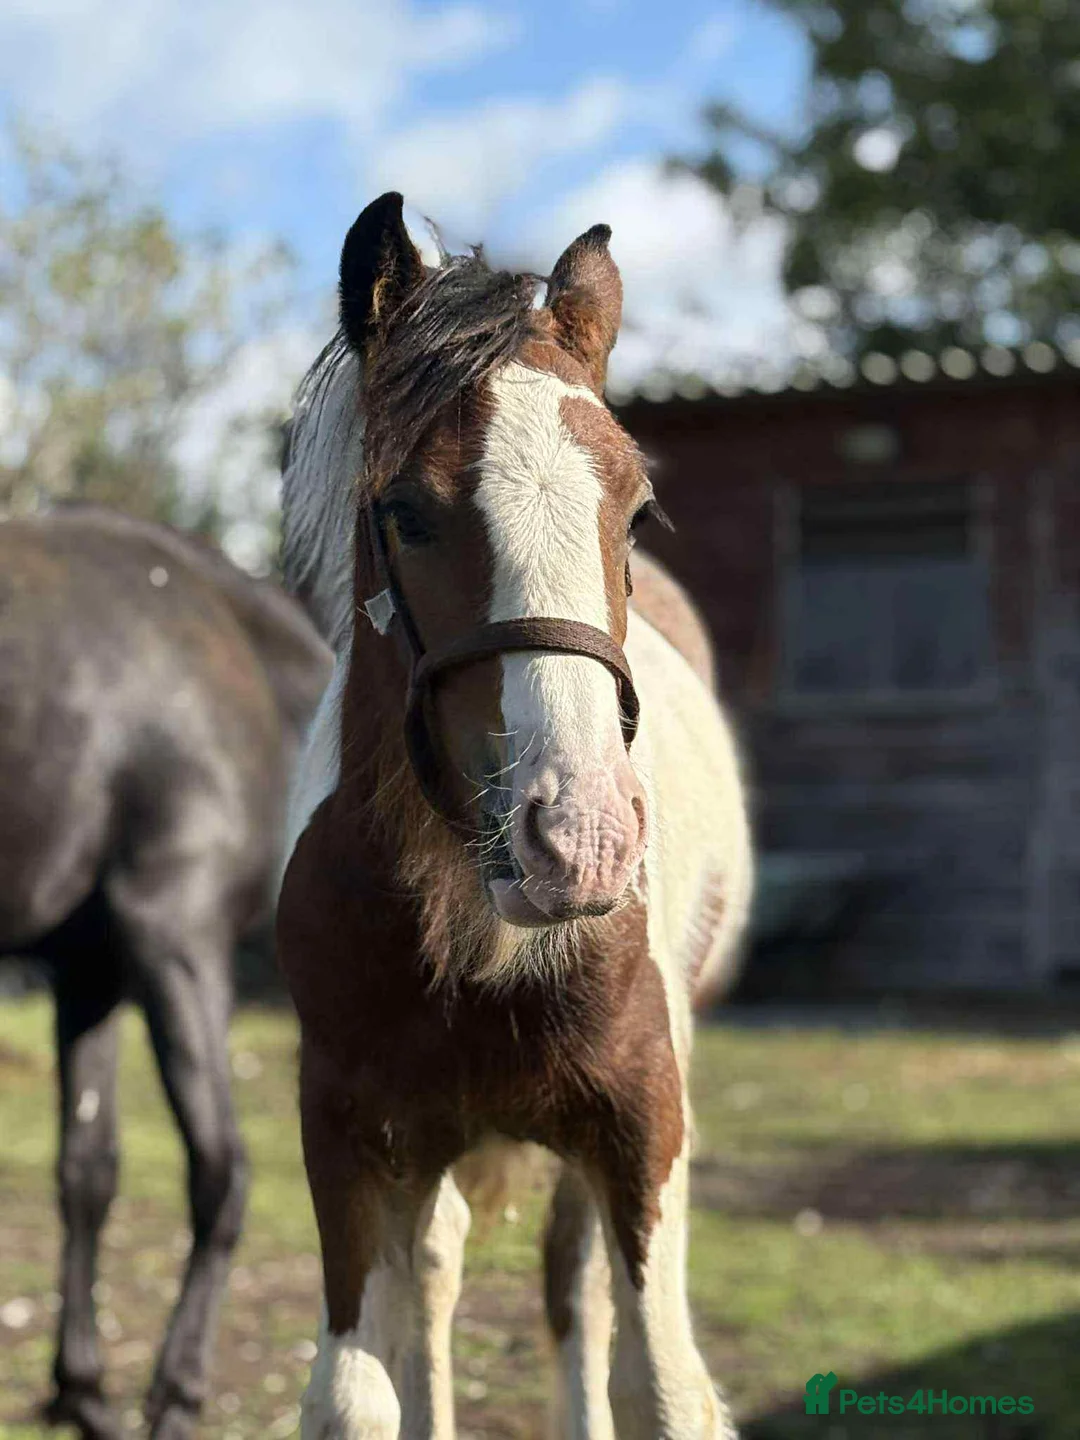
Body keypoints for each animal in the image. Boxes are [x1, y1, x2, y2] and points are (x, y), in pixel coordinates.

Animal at [0, 504, 332, 1440]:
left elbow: (87, 1171)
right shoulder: (174, 939)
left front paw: (82, 1392)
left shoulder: (90, 970)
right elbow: (222, 1171)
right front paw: (176, 1396)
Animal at [277, 192, 753, 1440]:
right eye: (405, 510)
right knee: (440, 1278)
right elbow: (356, 1391)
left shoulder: (640, 1122)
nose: (580, 845)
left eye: (637, 511)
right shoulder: (347, 1133)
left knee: (572, 1292)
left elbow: (658, 1381)